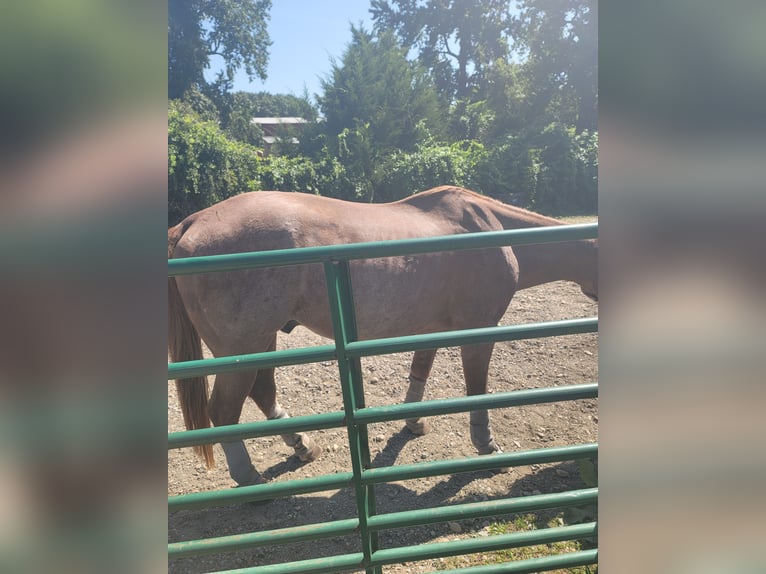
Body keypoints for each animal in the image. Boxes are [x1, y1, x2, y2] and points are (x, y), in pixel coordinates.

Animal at [168, 186, 598, 486]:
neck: (491, 230)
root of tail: (192, 222)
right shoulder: (478, 330)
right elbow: (477, 391)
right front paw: (486, 446)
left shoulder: (432, 329)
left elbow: (420, 372)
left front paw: (413, 423)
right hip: (242, 348)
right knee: (225, 411)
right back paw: (249, 480)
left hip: (260, 342)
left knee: (262, 392)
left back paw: (302, 447)